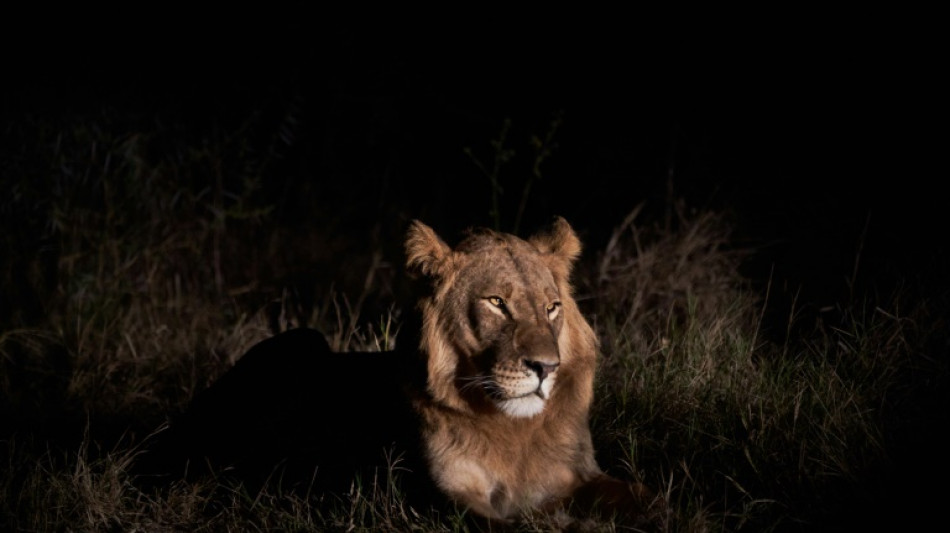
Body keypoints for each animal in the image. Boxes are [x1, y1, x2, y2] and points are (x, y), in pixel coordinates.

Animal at [141, 215, 660, 524]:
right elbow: (509, 524)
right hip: (299, 339)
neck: (514, 431)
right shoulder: (439, 496)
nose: (546, 368)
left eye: (553, 308)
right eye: (496, 303)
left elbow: (646, 495)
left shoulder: (581, 475)